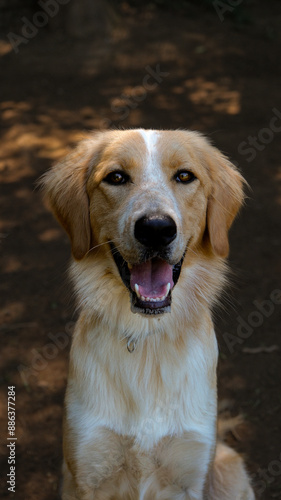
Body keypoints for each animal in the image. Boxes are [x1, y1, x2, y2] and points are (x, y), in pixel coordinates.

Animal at [41, 130, 254, 500]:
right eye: (116, 177)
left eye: (184, 176)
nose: (156, 229)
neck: (147, 339)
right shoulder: (87, 472)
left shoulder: (189, 476)